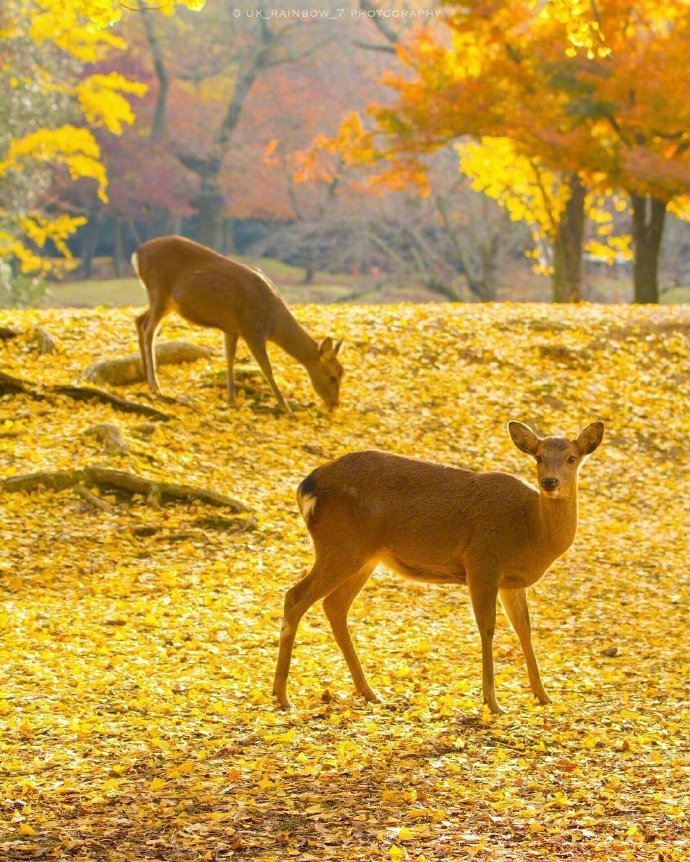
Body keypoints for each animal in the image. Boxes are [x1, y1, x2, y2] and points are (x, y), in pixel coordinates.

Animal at [131, 235, 342, 414]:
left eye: (342, 373)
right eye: (333, 377)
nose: (334, 404)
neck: (273, 321)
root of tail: (138, 254)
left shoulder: (232, 329)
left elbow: (230, 358)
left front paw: (232, 400)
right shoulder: (252, 330)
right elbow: (267, 368)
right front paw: (286, 408)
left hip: (167, 302)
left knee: (139, 320)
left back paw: (145, 376)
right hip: (158, 290)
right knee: (149, 330)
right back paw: (155, 385)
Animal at [274, 424, 600, 716]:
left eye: (572, 457)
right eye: (539, 457)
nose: (550, 482)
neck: (532, 531)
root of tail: (306, 488)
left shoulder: (512, 581)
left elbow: (524, 627)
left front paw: (543, 695)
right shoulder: (482, 561)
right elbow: (487, 627)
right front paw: (493, 702)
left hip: (364, 557)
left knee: (334, 605)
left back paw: (370, 693)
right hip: (341, 545)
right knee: (295, 597)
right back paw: (282, 696)